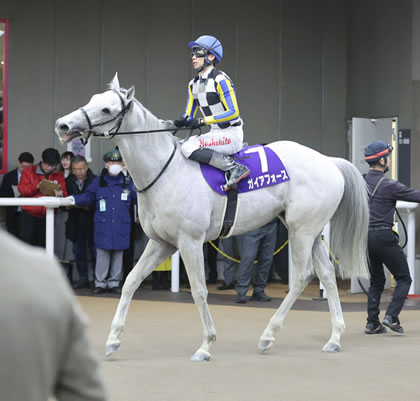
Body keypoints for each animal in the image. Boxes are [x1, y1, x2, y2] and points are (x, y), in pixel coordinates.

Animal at [55, 73, 368, 360]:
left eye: (107, 109)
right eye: (93, 100)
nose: (63, 124)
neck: (165, 172)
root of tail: (329, 161)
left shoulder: (190, 242)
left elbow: (199, 290)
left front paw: (206, 345)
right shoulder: (161, 243)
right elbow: (131, 281)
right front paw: (112, 339)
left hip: (301, 230)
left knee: (303, 276)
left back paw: (268, 335)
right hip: (312, 233)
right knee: (327, 275)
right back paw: (334, 337)